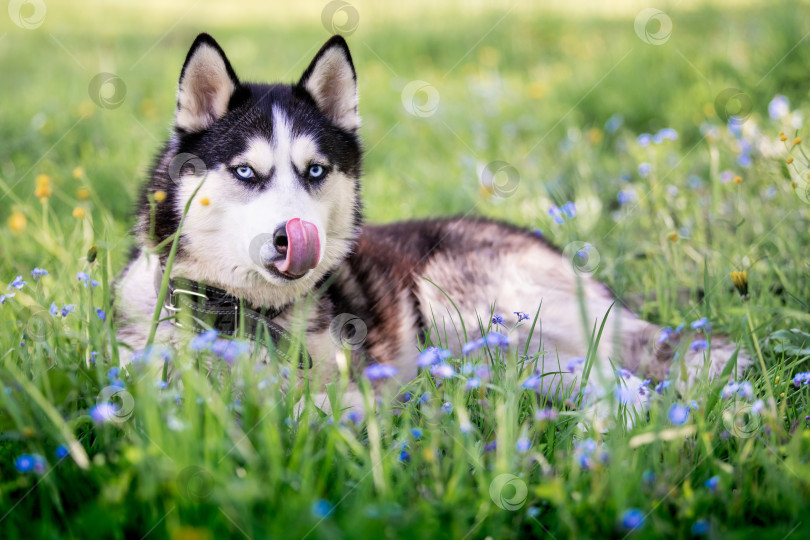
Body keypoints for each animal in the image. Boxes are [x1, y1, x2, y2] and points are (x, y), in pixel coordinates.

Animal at [113, 33, 744, 420]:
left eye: (315, 170)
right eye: (246, 171)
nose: (293, 239)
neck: (239, 311)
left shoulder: (352, 387)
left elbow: (308, 410)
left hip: (461, 309)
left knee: (612, 374)